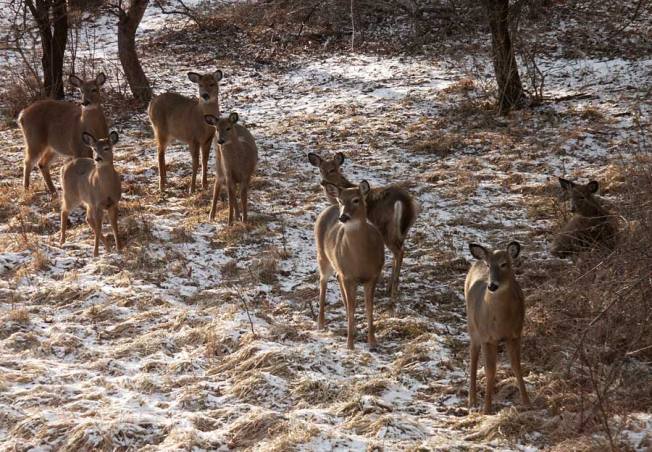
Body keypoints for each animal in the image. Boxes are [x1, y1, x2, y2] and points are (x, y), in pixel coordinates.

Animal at [308, 152, 417, 312]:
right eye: (320, 169)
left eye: (333, 169)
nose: (323, 182)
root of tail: (403, 201)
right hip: (403, 229)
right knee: (400, 250)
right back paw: (390, 287)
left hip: (385, 228)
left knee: (399, 251)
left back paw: (392, 293)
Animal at [315, 181, 385, 350]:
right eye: (342, 201)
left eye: (356, 200)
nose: (343, 217)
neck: (360, 260)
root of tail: (330, 207)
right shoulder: (349, 276)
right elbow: (353, 307)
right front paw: (350, 345)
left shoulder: (373, 275)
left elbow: (369, 307)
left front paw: (373, 342)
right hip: (322, 256)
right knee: (323, 281)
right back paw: (320, 323)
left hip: (339, 268)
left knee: (337, 280)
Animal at [465, 241, 530, 414]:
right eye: (489, 265)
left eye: (504, 264)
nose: (492, 286)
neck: (501, 321)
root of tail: (477, 261)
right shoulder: (487, 338)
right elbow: (490, 370)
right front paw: (487, 408)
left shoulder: (515, 334)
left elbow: (517, 366)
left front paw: (527, 402)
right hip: (473, 327)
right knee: (473, 356)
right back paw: (472, 401)